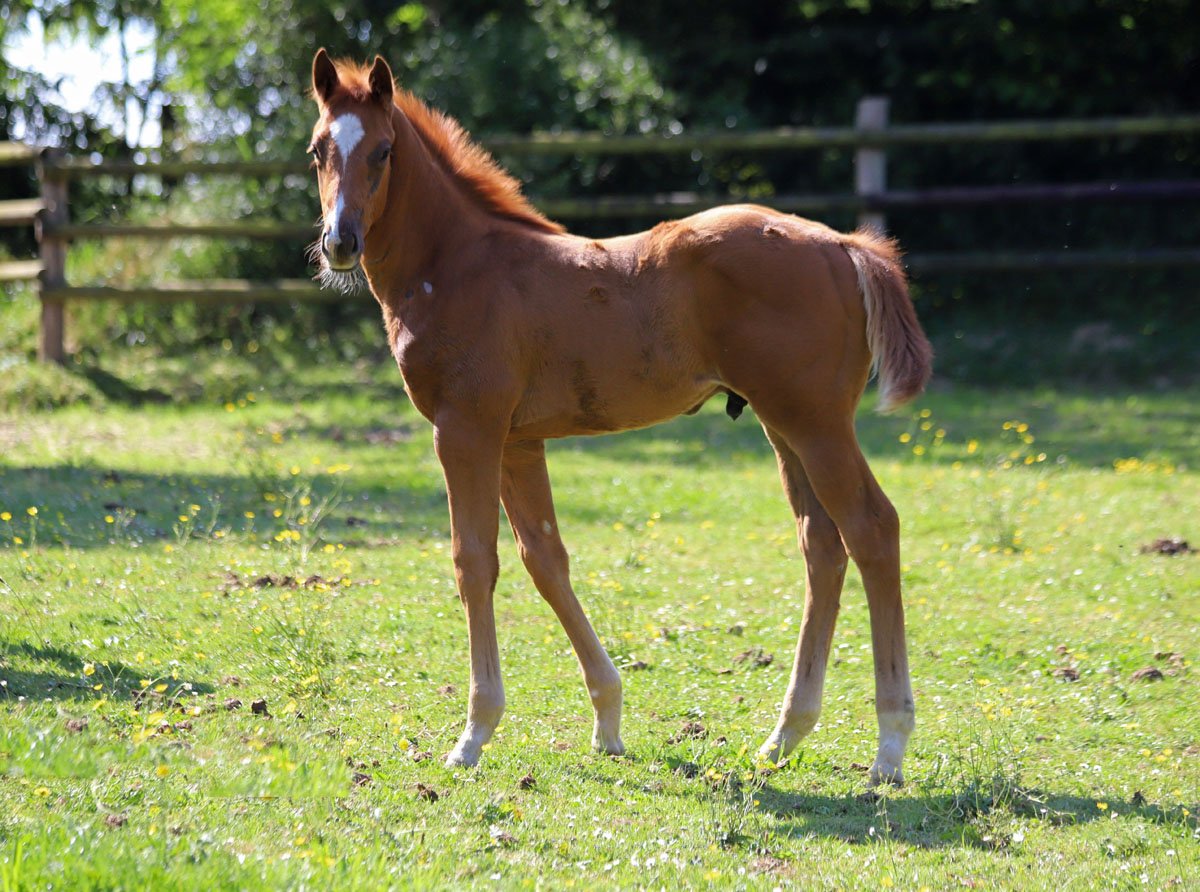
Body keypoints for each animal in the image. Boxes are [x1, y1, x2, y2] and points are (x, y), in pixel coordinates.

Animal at [307, 49, 933, 786]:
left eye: (383, 150)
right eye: (319, 150)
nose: (340, 242)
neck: (457, 265)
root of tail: (844, 244)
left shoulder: (466, 429)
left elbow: (474, 560)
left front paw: (473, 734)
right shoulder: (520, 441)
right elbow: (545, 559)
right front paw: (607, 721)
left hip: (817, 423)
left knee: (872, 529)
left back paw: (889, 747)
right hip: (784, 427)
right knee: (822, 545)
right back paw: (784, 735)